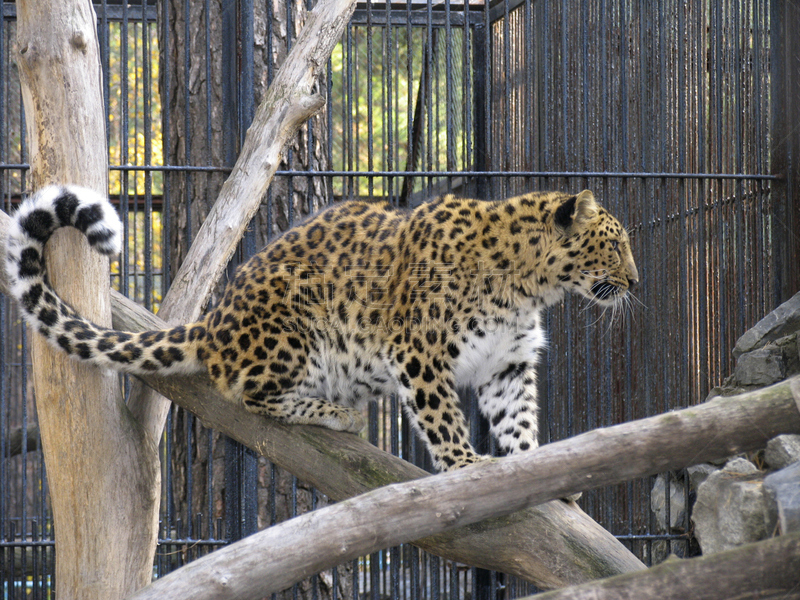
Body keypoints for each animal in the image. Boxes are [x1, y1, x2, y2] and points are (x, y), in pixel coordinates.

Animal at [4, 185, 636, 472]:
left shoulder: (508, 361)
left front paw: (539, 471)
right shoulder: (419, 353)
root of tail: (213, 322)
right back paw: (335, 414)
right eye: (615, 244)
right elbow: (443, 419)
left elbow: (518, 418)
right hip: (294, 328)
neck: (529, 286)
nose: (635, 279)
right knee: (249, 393)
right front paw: (466, 465)